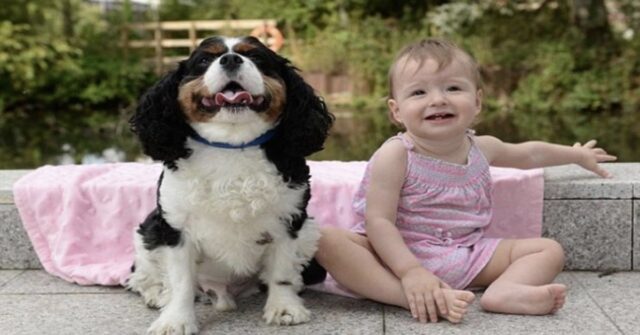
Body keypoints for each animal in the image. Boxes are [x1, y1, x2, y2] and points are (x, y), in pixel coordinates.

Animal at [126, 35, 336, 334]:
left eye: (256, 57)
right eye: (205, 59)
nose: (231, 59)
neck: (232, 145)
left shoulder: (290, 222)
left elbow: (282, 272)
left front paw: (284, 308)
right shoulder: (175, 227)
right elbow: (180, 282)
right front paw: (176, 320)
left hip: (311, 230)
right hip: (149, 229)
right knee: (143, 274)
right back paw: (157, 294)